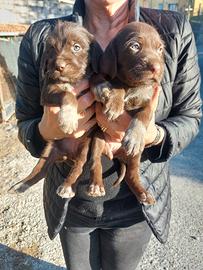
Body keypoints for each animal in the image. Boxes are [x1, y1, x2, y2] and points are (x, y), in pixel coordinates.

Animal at [9, 20, 101, 198]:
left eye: (76, 47)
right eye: (51, 48)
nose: (58, 66)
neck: (71, 80)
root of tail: (67, 155)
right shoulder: (48, 91)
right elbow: (67, 94)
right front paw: (68, 120)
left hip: (84, 146)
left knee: (79, 166)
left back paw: (67, 187)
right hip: (49, 149)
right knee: (39, 171)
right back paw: (21, 185)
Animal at [91, 22, 165, 204]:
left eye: (160, 49)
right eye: (135, 46)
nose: (157, 68)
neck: (132, 85)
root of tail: (117, 154)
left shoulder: (148, 104)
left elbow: (142, 116)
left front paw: (134, 137)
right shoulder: (110, 79)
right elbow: (109, 82)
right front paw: (113, 102)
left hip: (136, 155)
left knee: (132, 174)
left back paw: (143, 193)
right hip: (97, 139)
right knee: (96, 162)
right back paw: (96, 186)